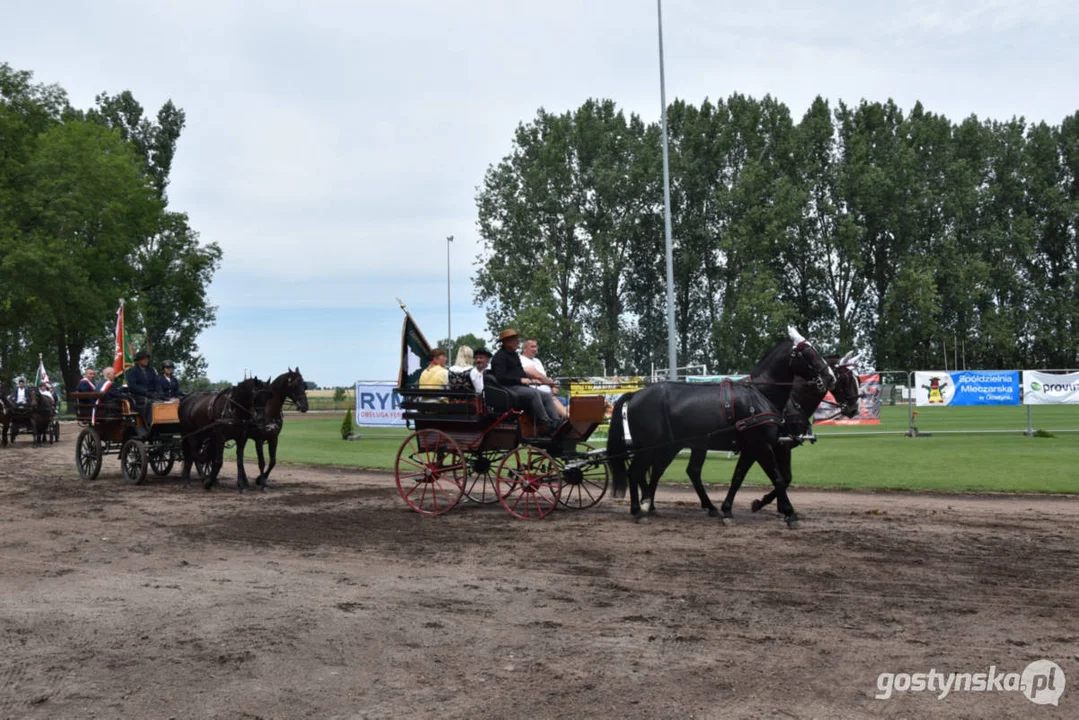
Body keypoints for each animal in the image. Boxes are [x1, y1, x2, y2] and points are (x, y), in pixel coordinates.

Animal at [608, 330, 832, 526]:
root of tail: (635, 394)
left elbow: (738, 478)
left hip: (669, 446)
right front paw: (790, 514)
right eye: (808, 352)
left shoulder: (752, 449)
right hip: (650, 447)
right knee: (635, 473)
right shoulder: (762, 446)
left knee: (659, 472)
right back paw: (638, 511)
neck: (758, 394)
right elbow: (777, 477)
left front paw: (727, 510)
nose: (830, 377)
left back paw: (655, 505)